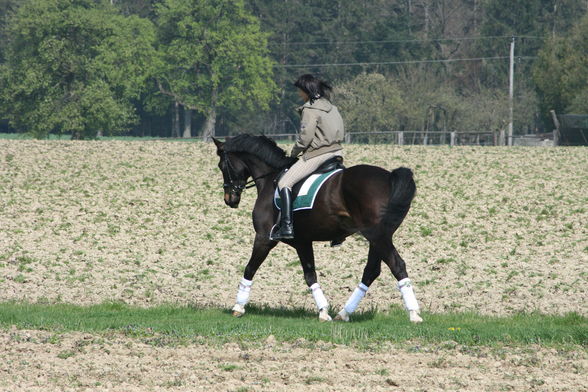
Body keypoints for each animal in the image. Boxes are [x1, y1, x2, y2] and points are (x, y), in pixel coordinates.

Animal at [216, 133, 422, 324]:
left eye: (222, 165)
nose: (230, 199)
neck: (270, 179)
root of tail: (389, 177)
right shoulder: (302, 242)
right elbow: (310, 275)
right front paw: (323, 311)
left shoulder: (264, 238)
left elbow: (250, 268)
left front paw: (238, 307)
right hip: (378, 238)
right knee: (371, 271)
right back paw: (344, 313)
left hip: (377, 236)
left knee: (397, 265)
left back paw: (414, 314)